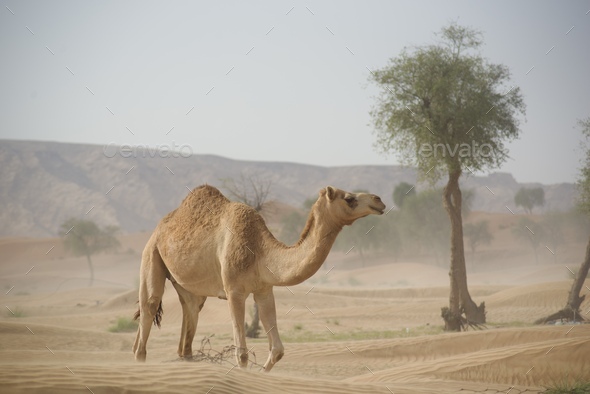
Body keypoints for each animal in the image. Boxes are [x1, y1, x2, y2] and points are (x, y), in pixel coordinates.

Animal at [132, 184, 386, 370]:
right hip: (151, 254)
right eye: (349, 198)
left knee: (189, 316)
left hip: (189, 288)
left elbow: (278, 350)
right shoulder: (234, 290)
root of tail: (159, 228)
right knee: (148, 312)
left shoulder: (264, 289)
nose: (379, 200)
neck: (259, 250)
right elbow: (242, 354)